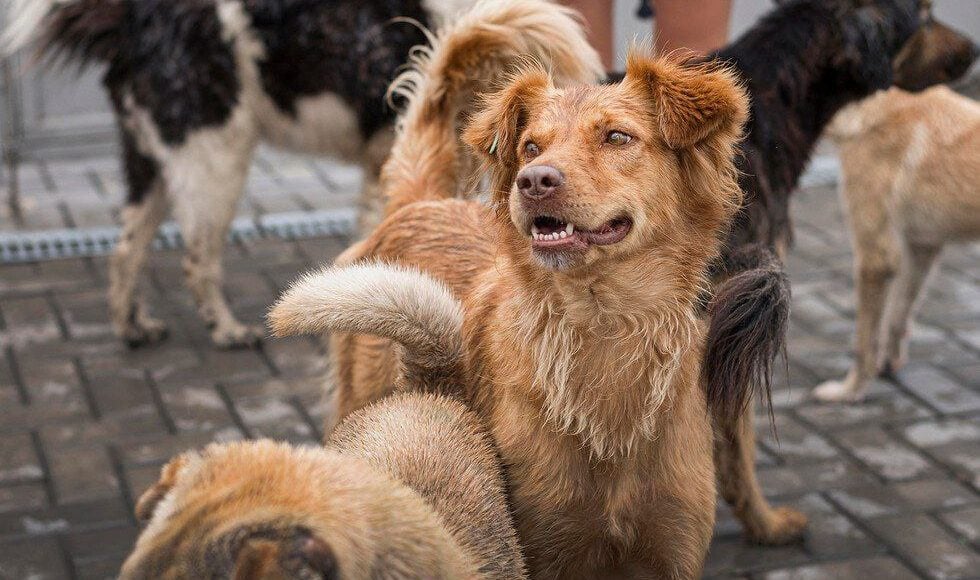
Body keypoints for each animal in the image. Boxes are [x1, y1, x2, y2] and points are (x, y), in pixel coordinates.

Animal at [0, 0, 482, 346]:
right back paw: (227, 331)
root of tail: (139, 19)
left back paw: (132, 328)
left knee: (125, 251)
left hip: (152, 164)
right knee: (197, 261)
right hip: (215, 162)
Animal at [268, 48, 812, 576]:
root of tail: (420, 203)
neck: (603, 327)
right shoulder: (536, 543)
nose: (534, 181)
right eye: (531, 147)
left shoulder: (671, 550)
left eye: (617, 137)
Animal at [812, 85, 980, 404]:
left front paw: (850, 391)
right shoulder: (921, 247)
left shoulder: (875, 258)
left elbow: (864, 343)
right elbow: (898, 316)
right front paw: (888, 366)